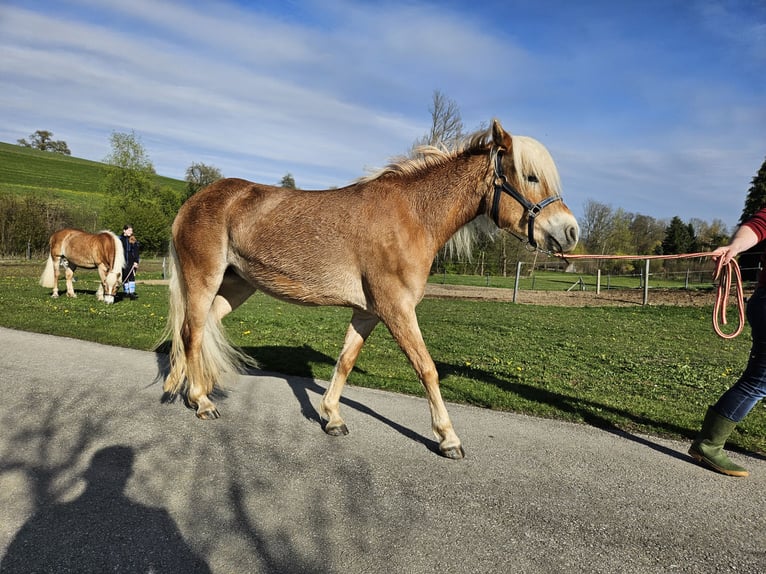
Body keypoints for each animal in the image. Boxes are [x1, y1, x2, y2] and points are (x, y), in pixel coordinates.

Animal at [162, 119, 579, 458]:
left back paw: (182, 387)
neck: (412, 216)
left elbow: (346, 362)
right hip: (204, 279)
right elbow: (427, 369)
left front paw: (332, 417)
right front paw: (447, 437)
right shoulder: (397, 310)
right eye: (530, 177)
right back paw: (201, 401)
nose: (570, 231)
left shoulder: (368, 312)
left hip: (236, 287)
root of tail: (194, 201)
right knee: (192, 332)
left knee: (197, 332)